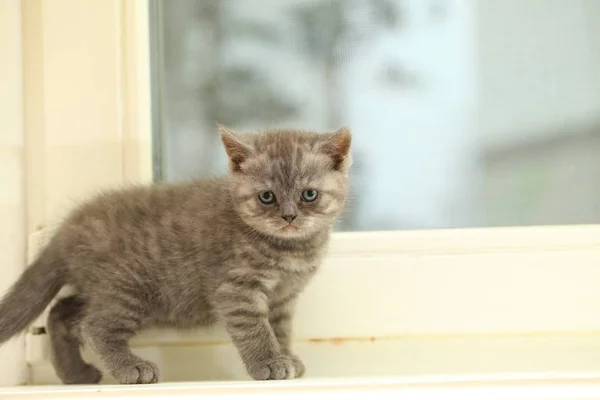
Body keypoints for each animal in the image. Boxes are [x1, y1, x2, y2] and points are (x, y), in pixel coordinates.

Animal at [0, 126, 352, 382]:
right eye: (267, 197)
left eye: (309, 195)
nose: (289, 216)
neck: (290, 249)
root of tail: (69, 229)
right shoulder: (235, 289)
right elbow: (255, 329)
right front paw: (268, 362)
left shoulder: (283, 298)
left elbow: (280, 329)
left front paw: (286, 356)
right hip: (130, 288)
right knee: (93, 325)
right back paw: (130, 367)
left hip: (102, 288)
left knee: (61, 312)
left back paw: (76, 374)